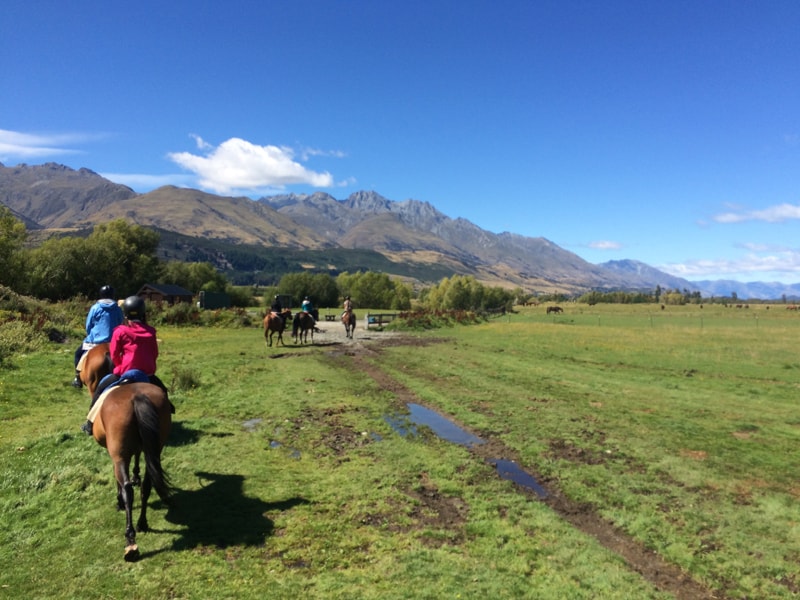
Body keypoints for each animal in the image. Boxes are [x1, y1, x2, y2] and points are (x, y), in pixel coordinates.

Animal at [92, 381, 173, 561]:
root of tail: (137, 397)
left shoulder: (115, 456)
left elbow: (118, 482)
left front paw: (119, 502)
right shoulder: (140, 448)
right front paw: (136, 475)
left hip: (119, 455)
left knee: (128, 490)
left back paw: (130, 541)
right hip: (155, 448)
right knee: (147, 486)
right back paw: (142, 523)